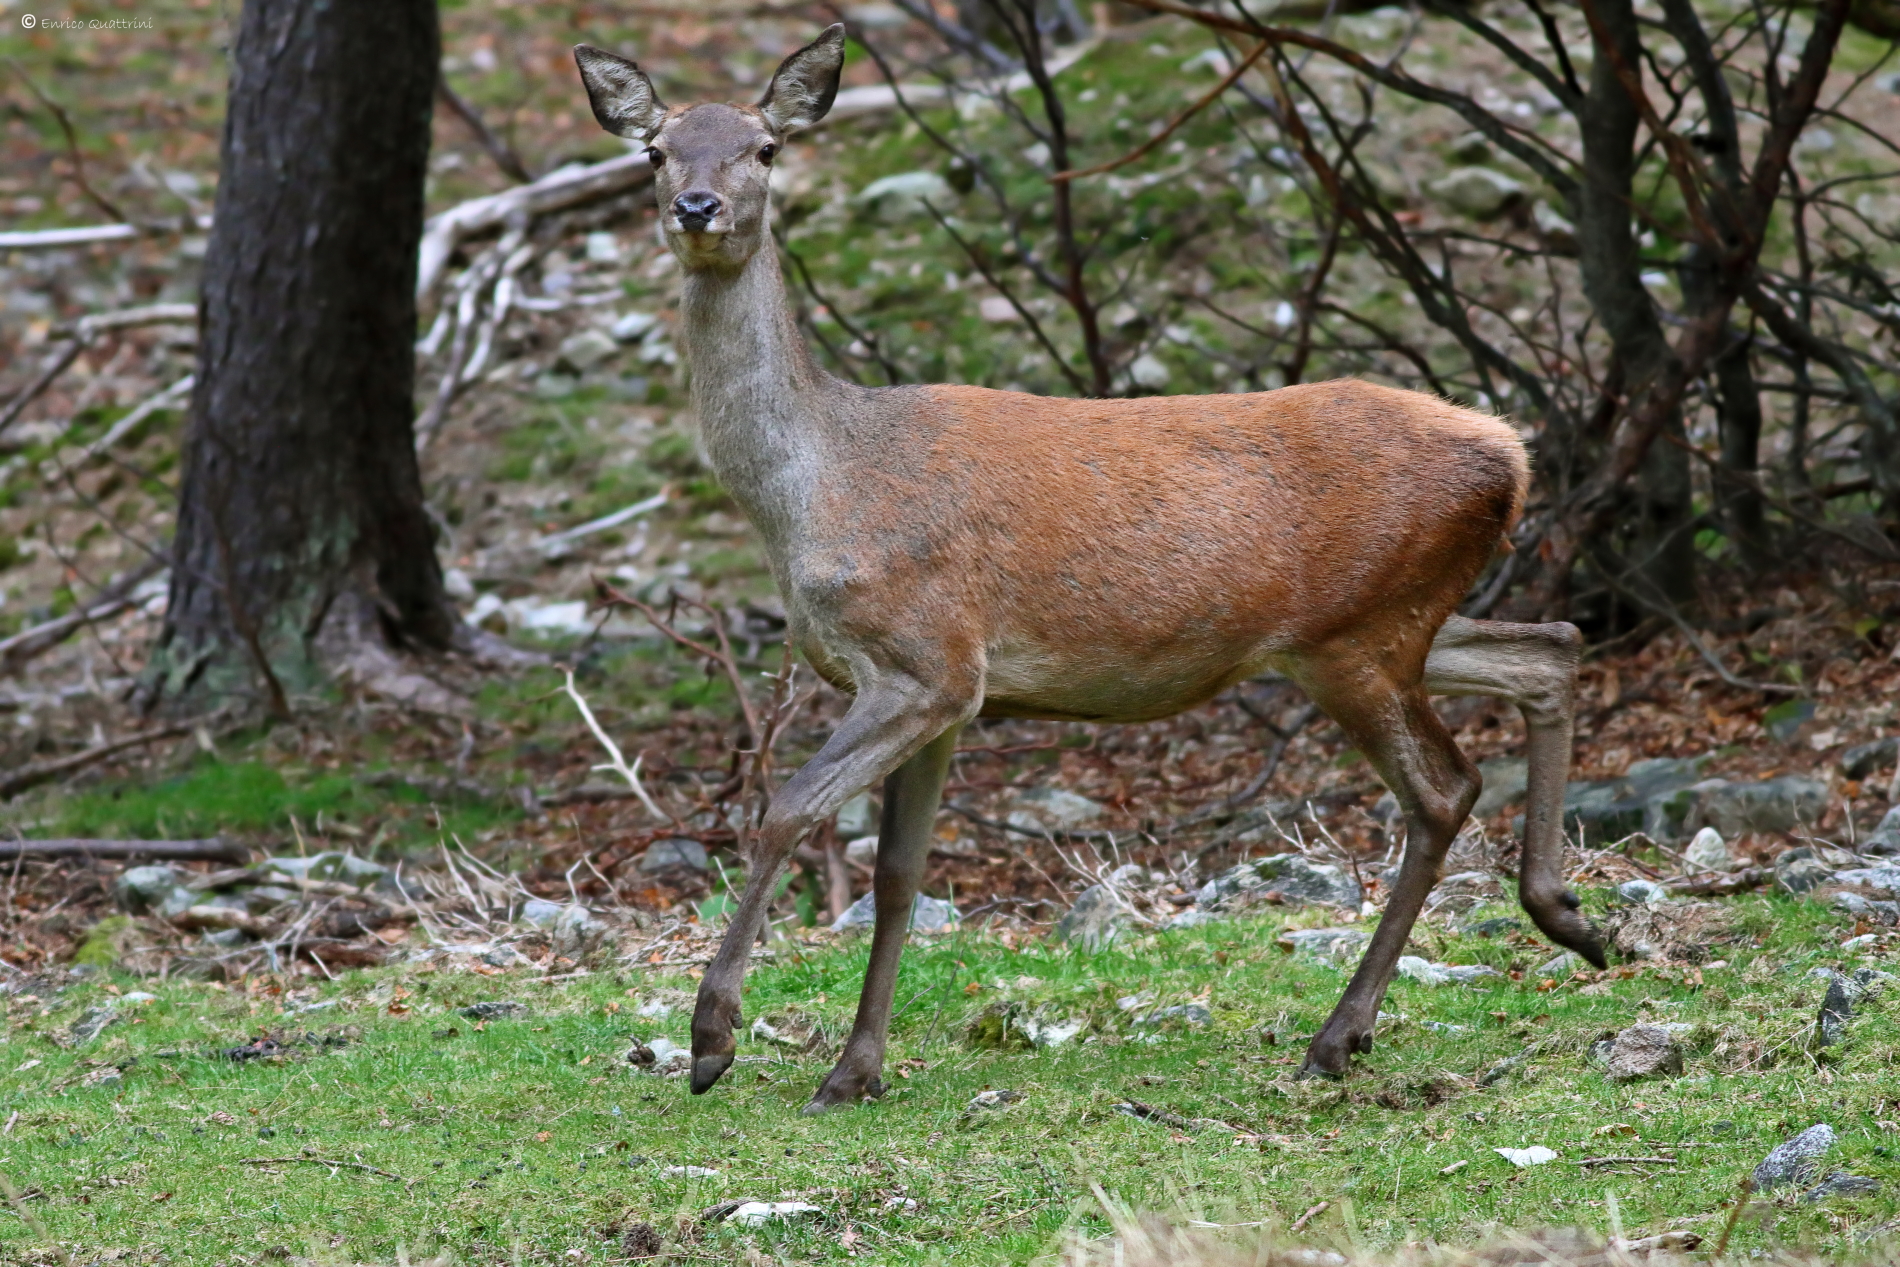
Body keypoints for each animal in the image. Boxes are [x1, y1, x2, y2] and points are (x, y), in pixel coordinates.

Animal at [573, 26, 1606, 1114]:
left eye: (765, 148)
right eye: (654, 152)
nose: (697, 206)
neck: (819, 485)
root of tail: (1512, 457)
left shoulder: (925, 653)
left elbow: (785, 809)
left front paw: (712, 1037)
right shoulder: (952, 691)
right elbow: (898, 876)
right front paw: (856, 1068)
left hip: (1358, 637)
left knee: (1446, 787)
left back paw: (1339, 1033)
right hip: (1382, 625)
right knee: (1549, 645)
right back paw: (1566, 917)